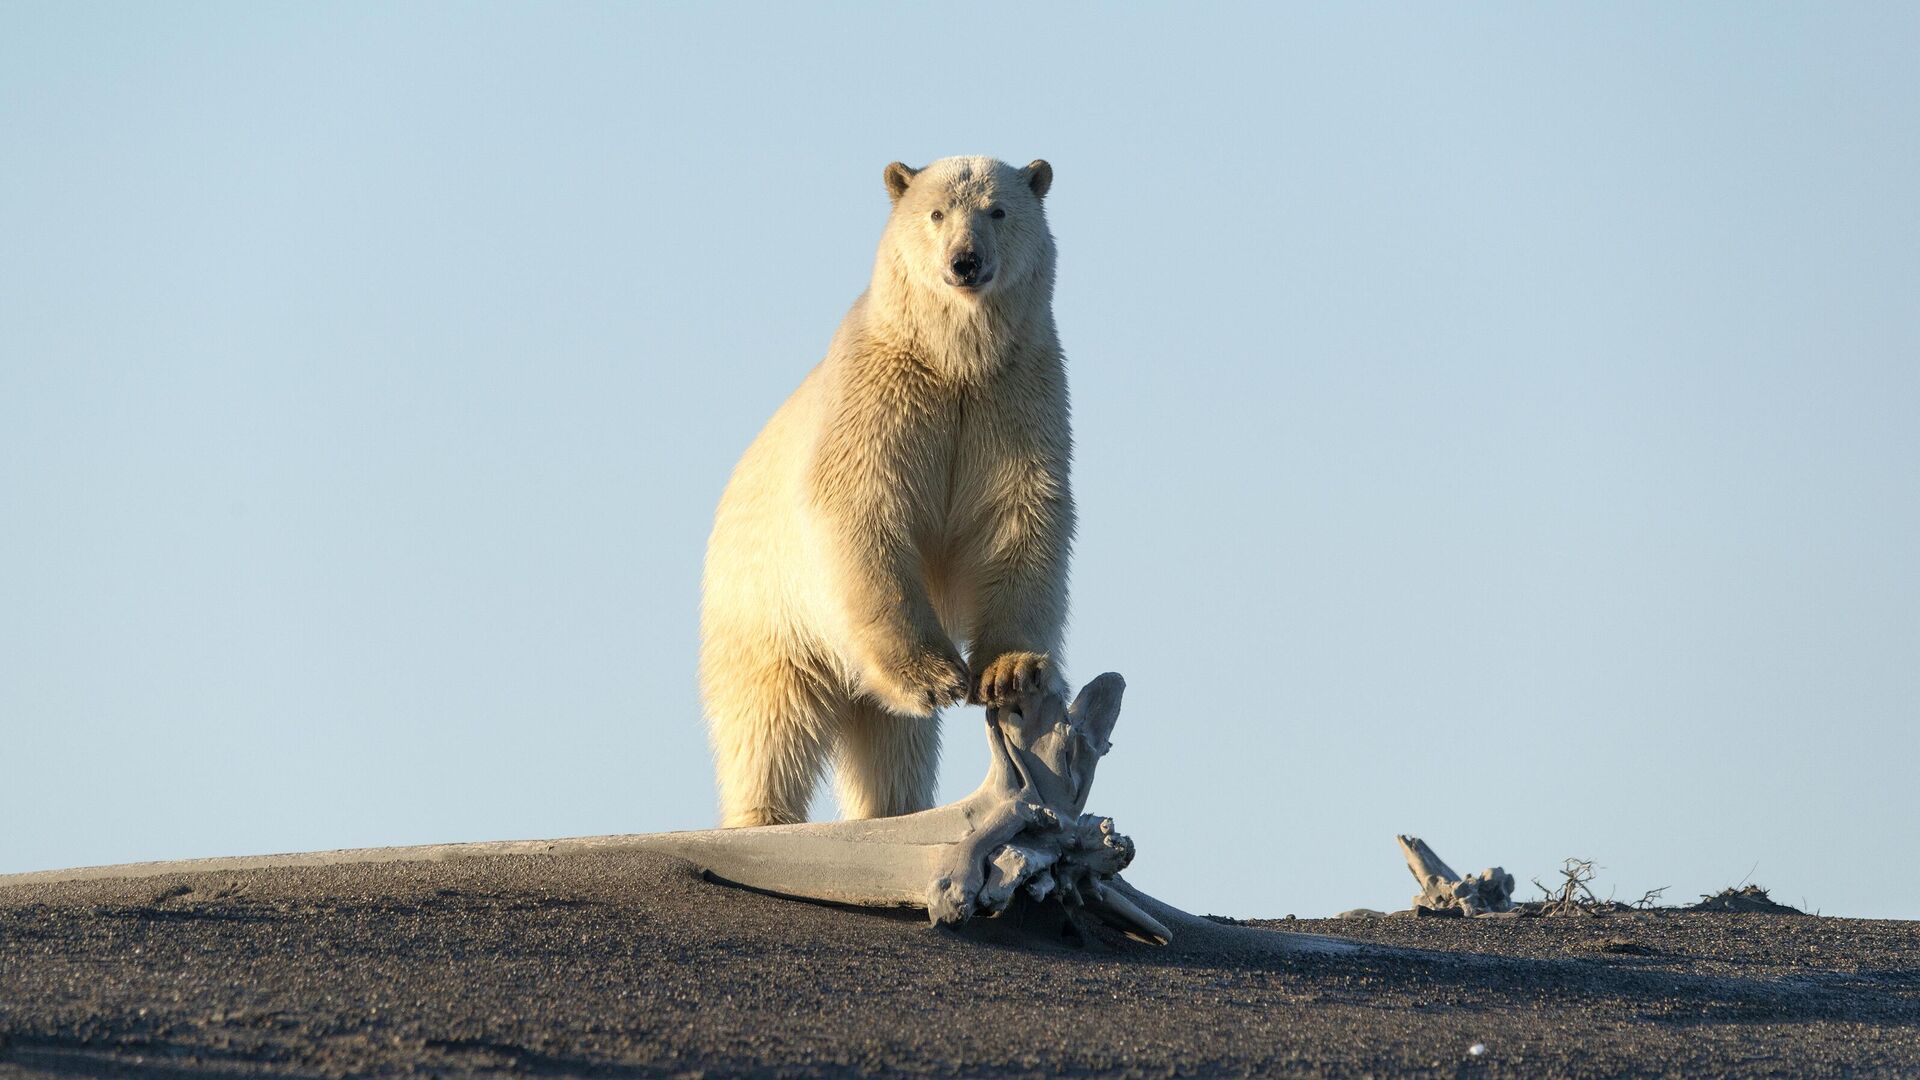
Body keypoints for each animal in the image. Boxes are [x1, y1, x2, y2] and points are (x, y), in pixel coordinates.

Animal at [698, 155, 1075, 822]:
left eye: (998, 210)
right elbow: (863, 509)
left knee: (891, 745)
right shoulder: (883, 400)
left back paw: (892, 807)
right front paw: (936, 677)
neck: (955, 361)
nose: (965, 261)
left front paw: (1011, 672)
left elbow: (1020, 516)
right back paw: (763, 817)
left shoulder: (1015, 399)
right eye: (936, 212)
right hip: (764, 609)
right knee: (770, 724)